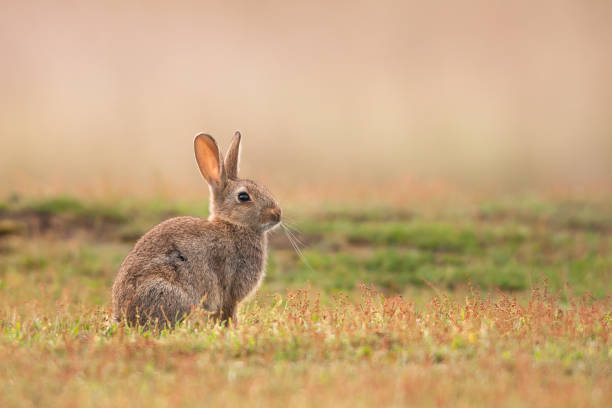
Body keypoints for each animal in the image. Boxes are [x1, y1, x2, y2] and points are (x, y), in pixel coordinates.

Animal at [110, 132, 282, 326]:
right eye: (243, 197)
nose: (277, 214)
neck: (234, 225)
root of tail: (124, 316)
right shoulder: (231, 290)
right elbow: (228, 312)